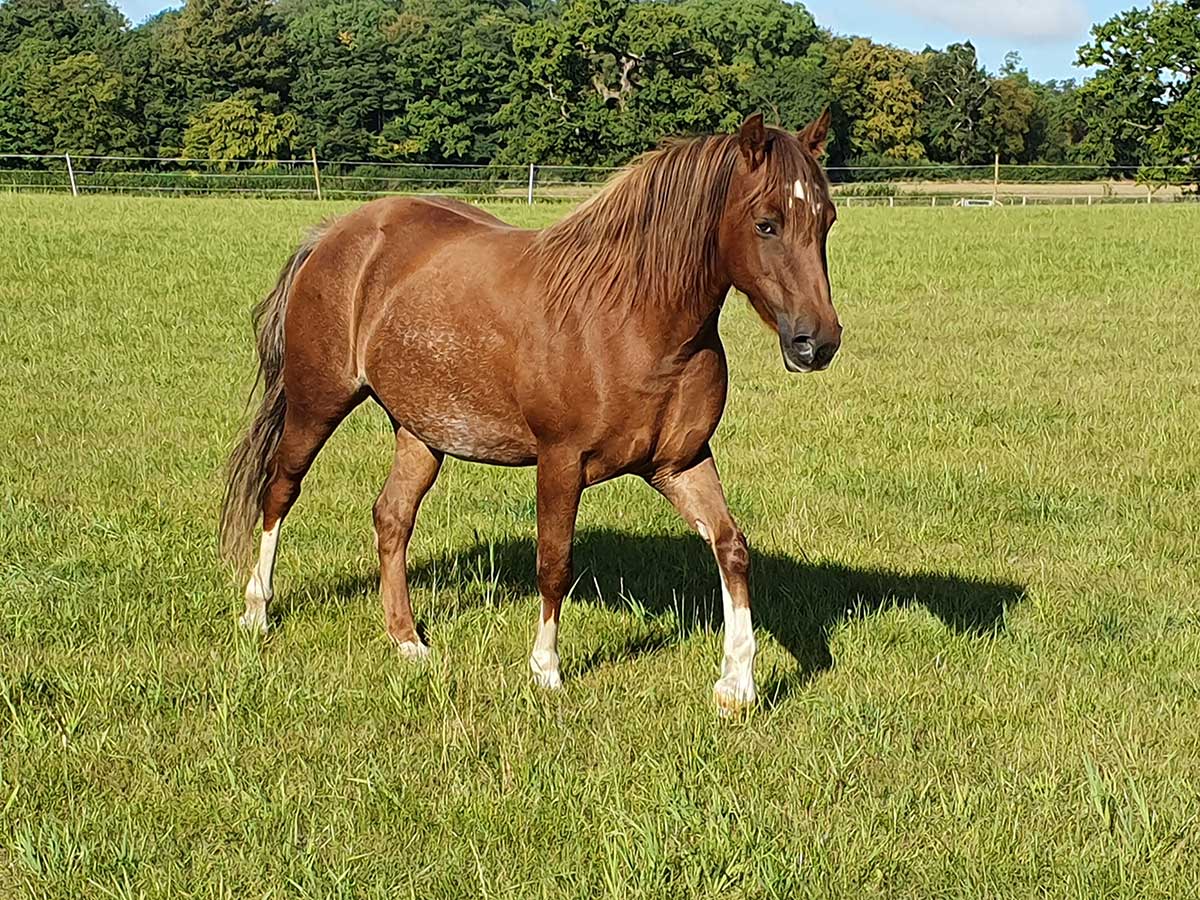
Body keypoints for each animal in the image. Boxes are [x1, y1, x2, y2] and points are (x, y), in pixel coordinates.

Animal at [220, 112, 840, 710]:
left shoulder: (681, 463)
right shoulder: (560, 462)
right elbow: (555, 563)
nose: (817, 343)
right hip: (316, 404)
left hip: (421, 432)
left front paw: (737, 684)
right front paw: (546, 671)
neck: (631, 318)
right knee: (280, 491)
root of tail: (334, 234)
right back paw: (256, 612)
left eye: (827, 219)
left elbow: (732, 549)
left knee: (392, 518)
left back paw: (408, 640)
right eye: (766, 223)